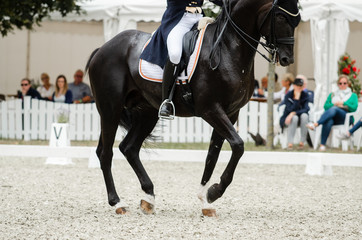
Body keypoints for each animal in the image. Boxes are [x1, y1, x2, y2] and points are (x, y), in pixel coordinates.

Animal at [87, 0, 300, 217]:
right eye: (281, 17)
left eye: (297, 19)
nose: (287, 59)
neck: (228, 49)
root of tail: (103, 48)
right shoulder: (211, 110)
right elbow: (238, 145)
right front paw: (215, 191)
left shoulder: (231, 113)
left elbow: (213, 155)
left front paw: (206, 200)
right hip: (110, 109)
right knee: (106, 153)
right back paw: (117, 202)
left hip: (147, 112)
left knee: (128, 148)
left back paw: (148, 198)